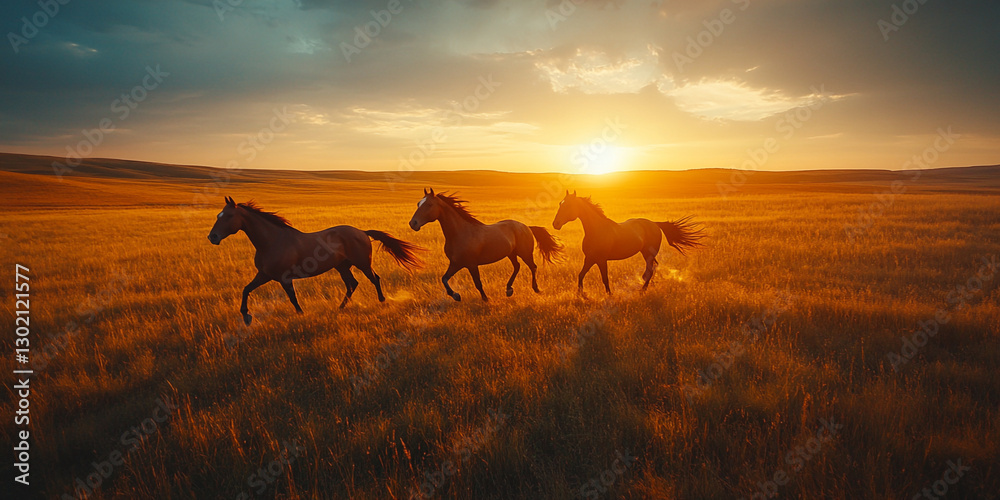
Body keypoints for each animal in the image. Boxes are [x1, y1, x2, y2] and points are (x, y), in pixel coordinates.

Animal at [208, 197, 422, 324]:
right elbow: (246, 289)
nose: (213, 237)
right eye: (218, 215)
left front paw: (301, 314)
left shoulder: (284, 278)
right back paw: (340, 308)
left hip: (362, 263)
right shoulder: (264, 275)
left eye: (229, 216)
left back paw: (382, 301)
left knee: (374, 279)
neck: (271, 241)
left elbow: (292, 297)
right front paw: (245, 315)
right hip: (342, 266)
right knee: (352, 284)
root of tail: (361, 231)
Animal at [408, 188, 564, 301]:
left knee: (533, 267)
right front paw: (456, 296)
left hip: (525, 253)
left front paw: (485, 299)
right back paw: (509, 289)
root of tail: (526, 226)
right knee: (517, 266)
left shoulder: (471, 264)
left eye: (429, 204)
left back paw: (536, 288)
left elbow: (477, 282)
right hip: (511, 253)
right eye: (418, 204)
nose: (413, 223)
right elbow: (444, 279)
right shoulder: (456, 263)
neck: (460, 233)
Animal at [552, 191, 704, 294]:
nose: (555, 224)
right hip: (646, 253)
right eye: (560, 203)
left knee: (650, 269)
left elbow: (605, 278)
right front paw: (580, 295)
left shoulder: (601, 260)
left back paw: (642, 290)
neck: (596, 230)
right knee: (652, 268)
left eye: (568, 205)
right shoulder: (589, 258)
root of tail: (655, 224)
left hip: (648, 254)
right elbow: (581, 274)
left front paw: (609, 295)